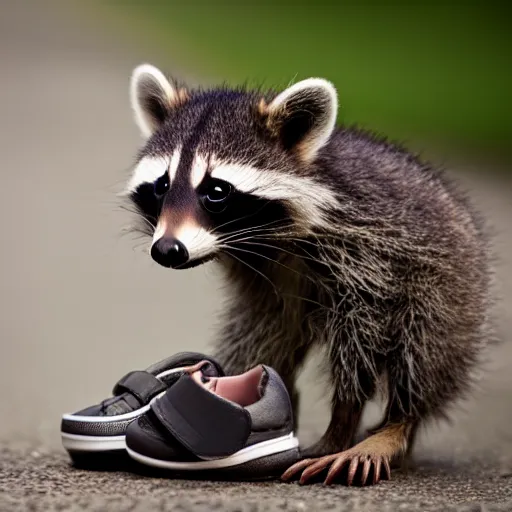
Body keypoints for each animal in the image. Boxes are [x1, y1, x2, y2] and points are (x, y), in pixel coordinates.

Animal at [123, 63, 492, 484]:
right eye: (161, 186)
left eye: (216, 191)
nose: (167, 249)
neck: (267, 240)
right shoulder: (261, 281)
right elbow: (264, 336)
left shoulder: (372, 253)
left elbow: (362, 339)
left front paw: (344, 418)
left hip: (449, 290)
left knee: (423, 347)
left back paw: (396, 424)